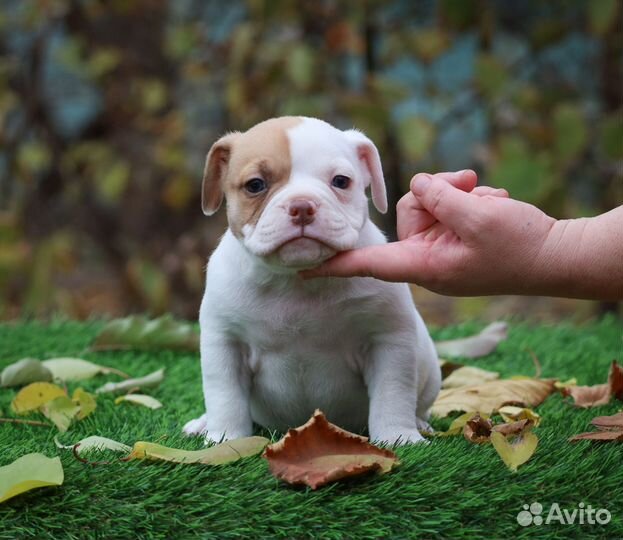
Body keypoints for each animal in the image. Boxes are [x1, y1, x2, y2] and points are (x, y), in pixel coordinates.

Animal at [183, 116, 442, 446]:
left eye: (341, 181)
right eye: (255, 185)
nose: (302, 206)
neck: (296, 280)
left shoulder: (388, 341)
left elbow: (392, 394)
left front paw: (399, 437)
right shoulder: (225, 343)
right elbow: (225, 396)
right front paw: (227, 439)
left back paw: (419, 423)